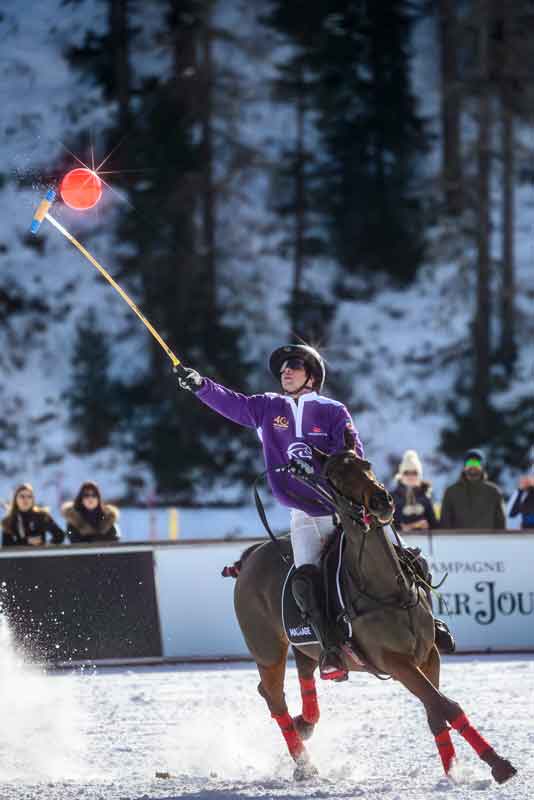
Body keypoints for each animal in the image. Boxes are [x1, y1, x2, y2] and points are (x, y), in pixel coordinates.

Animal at [232, 446, 516, 784]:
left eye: (366, 464)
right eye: (335, 476)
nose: (382, 501)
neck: (389, 592)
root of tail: (250, 557)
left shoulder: (428, 654)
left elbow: (435, 712)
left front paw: (452, 772)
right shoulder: (395, 661)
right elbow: (444, 705)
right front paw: (498, 765)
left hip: (305, 645)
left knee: (305, 673)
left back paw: (306, 722)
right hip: (267, 650)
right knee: (274, 698)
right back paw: (304, 764)